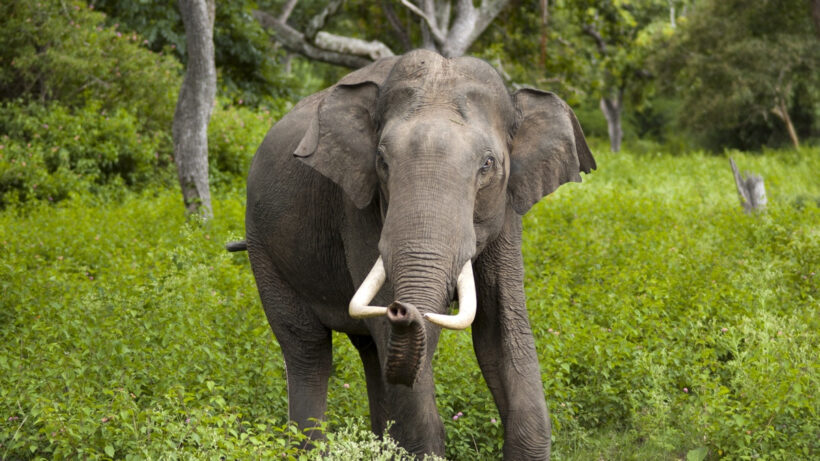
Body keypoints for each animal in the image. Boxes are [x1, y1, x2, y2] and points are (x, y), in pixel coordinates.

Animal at [234, 49, 595, 459]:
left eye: (487, 164)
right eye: (382, 161)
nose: (401, 310)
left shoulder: (507, 210)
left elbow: (501, 332)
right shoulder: (358, 207)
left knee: (370, 351)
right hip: (263, 247)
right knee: (308, 349)